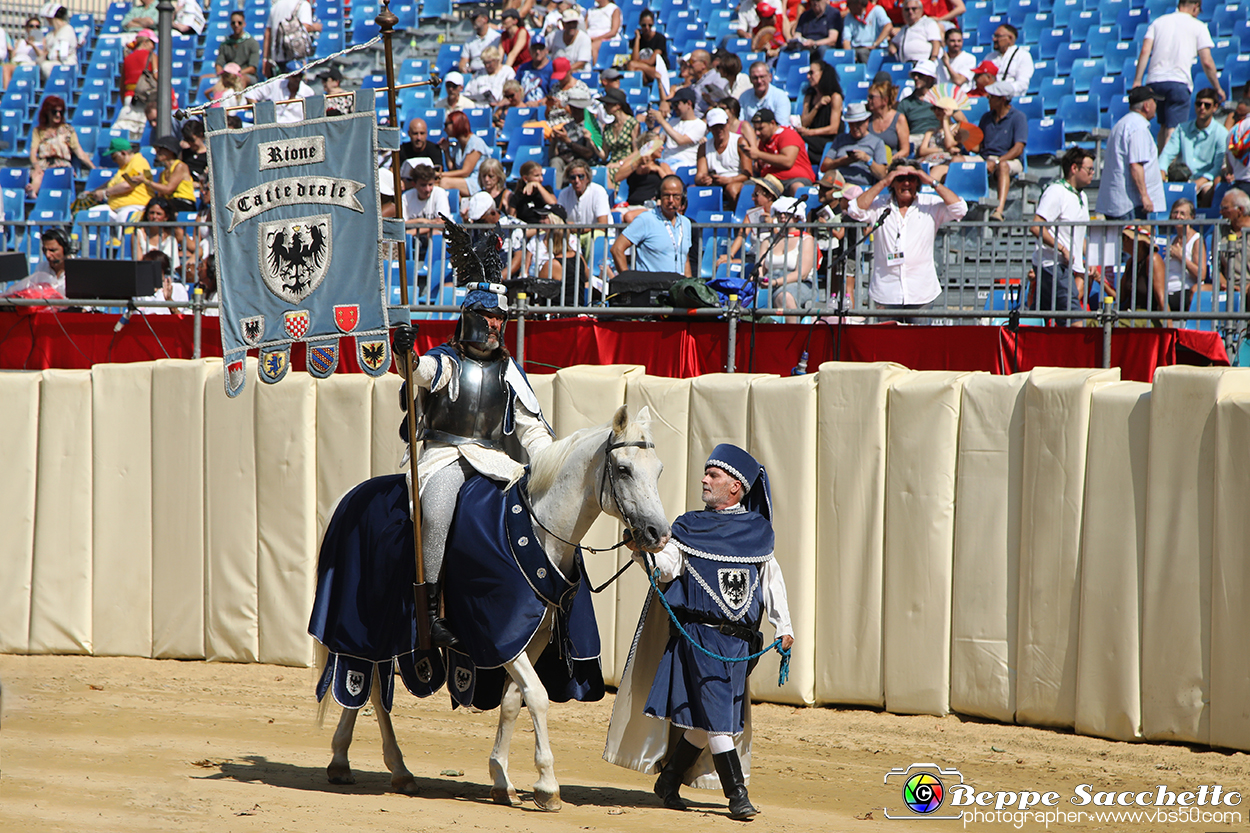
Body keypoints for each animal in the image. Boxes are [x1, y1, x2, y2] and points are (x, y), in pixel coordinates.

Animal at [322, 405, 675, 805]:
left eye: (659, 470)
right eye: (624, 469)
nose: (659, 534)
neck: (537, 530)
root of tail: (349, 497)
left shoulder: (531, 638)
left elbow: (512, 700)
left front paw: (501, 779)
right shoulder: (498, 636)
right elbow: (537, 696)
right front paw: (546, 784)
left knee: (375, 687)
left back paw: (374, 767)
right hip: (366, 628)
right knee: (368, 683)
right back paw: (364, 763)